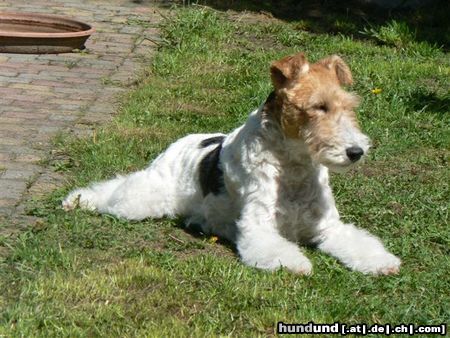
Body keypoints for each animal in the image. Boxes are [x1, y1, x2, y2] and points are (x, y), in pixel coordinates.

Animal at [63, 52, 400, 274]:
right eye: (319, 107)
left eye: (349, 106)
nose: (356, 151)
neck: (293, 166)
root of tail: (179, 142)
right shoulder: (259, 227)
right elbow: (275, 248)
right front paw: (296, 264)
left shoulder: (328, 227)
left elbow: (360, 243)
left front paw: (383, 262)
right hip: (143, 199)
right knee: (114, 192)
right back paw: (76, 200)